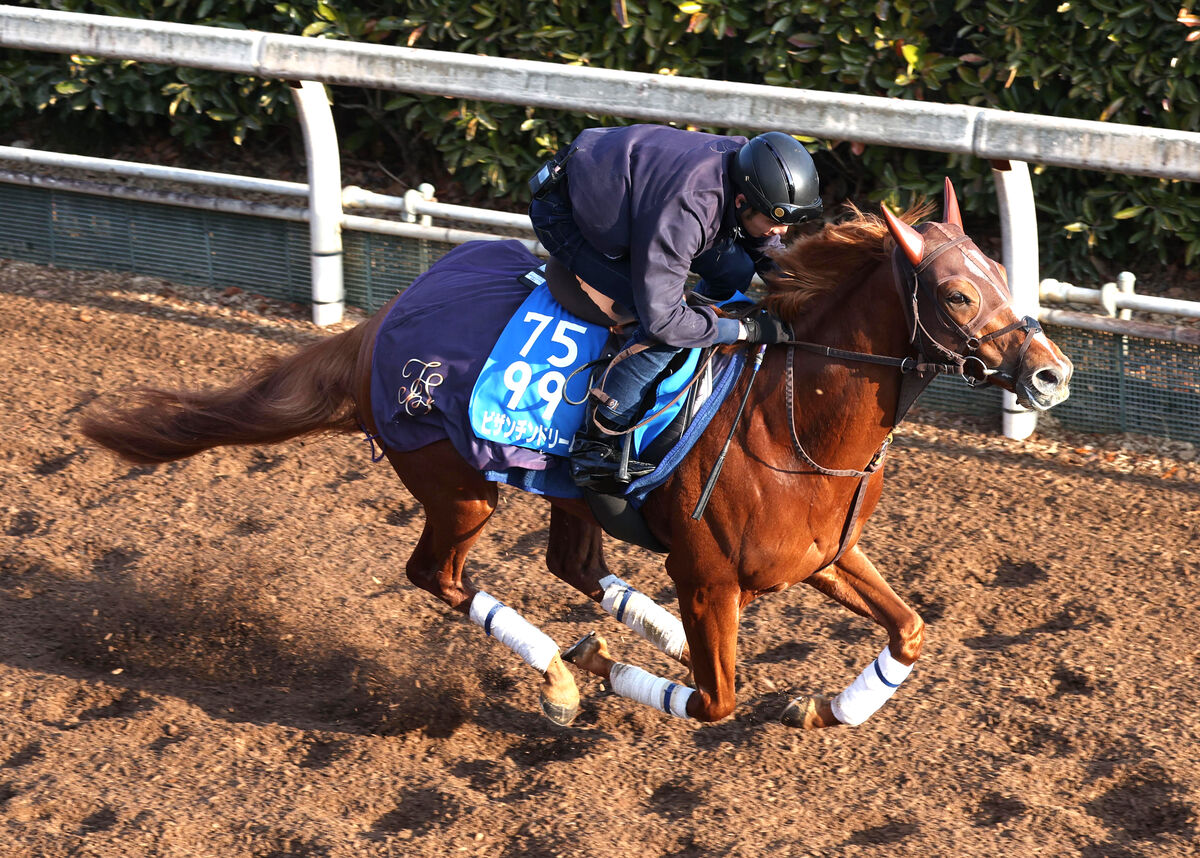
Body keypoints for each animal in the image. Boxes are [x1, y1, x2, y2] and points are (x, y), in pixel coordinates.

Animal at [84, 181, 1080, 729]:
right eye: (956, 293)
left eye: (1001, 272)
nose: (1051, 373)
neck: (790, 421)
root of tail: (385, 321)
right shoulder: (711, 577)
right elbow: (713, 701)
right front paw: (598, 667)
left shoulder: (823, 554)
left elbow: (910, 631)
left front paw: (824, 705)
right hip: (460, 488)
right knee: (440, 577)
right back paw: (562, 676)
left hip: (560, 489)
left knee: (571, 562)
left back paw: (645, 629)